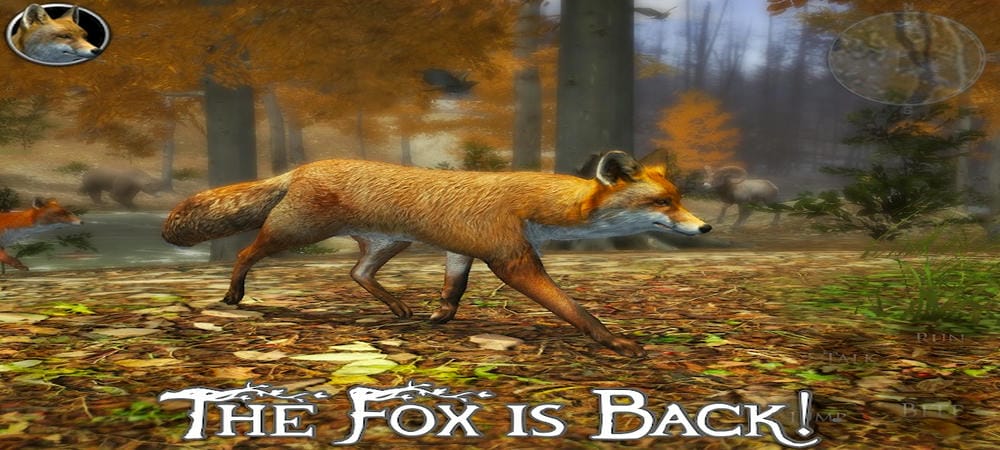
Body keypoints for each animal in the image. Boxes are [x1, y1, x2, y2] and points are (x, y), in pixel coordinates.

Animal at [162, 152, 712, 357]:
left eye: (679, 198)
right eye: (662, 203)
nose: (704, 226)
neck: (536, 204)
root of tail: (302, 167)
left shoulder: (460, 252)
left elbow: (454, 290)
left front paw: (440, 318)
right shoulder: (511, 259)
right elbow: (573, 308)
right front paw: (614, 340)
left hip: (391, 243)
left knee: (357, 272)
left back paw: (398, 308)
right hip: (293, 233)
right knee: (246, 251)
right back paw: (233, 294)